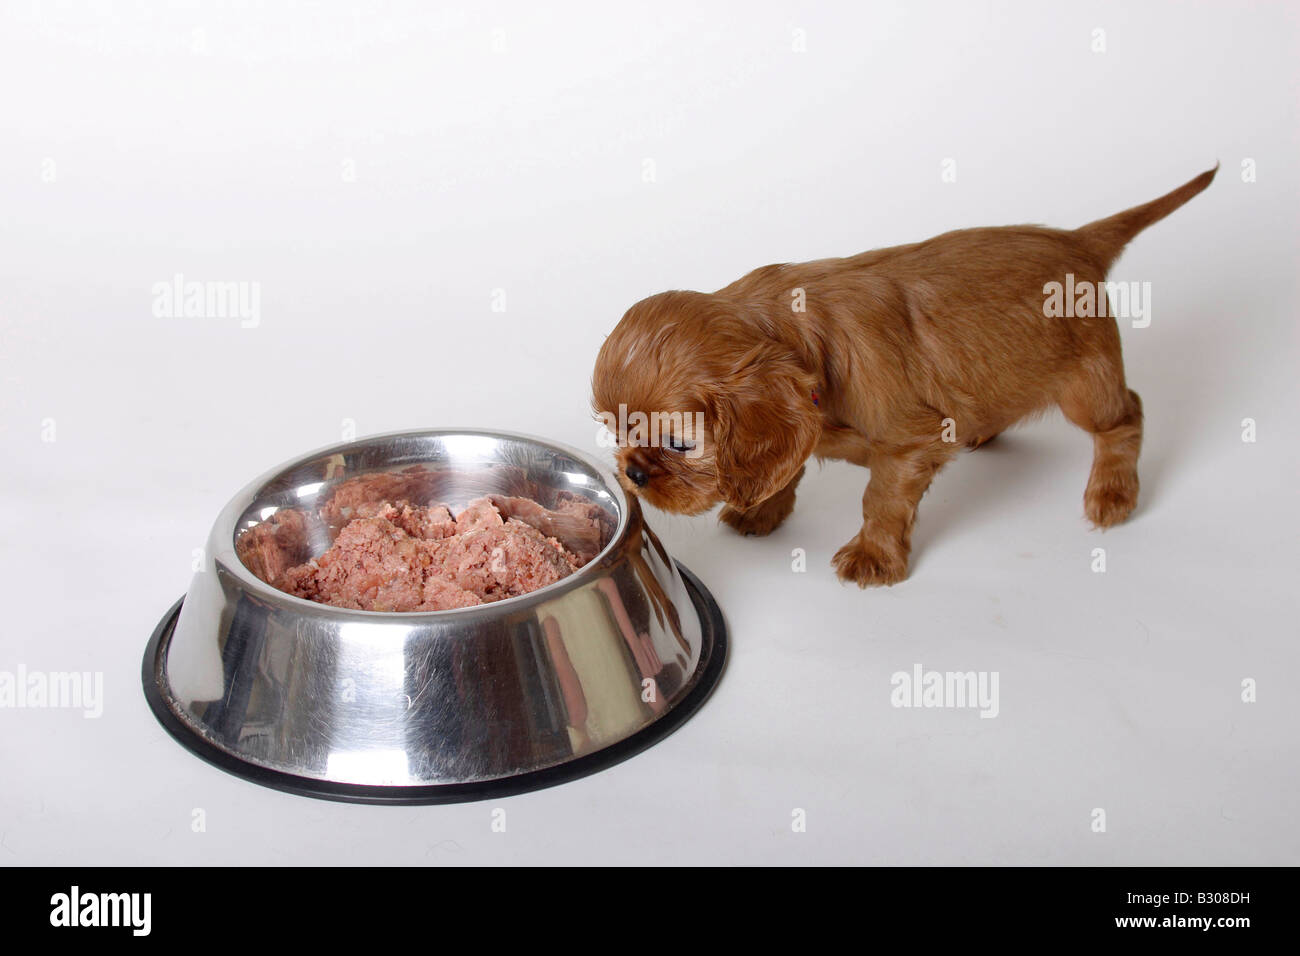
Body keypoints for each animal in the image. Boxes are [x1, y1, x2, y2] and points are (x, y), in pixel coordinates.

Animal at [592, 166, 1216, 582]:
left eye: (678, 442)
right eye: (616, 430)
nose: (633, 471)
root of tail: (1075, 239)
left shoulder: (908, 442)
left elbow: (882, 499)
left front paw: (873, 557)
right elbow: (785, 469)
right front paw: (761, 510)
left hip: (1087, 384)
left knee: (1126, 417)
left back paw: (1113, 493)